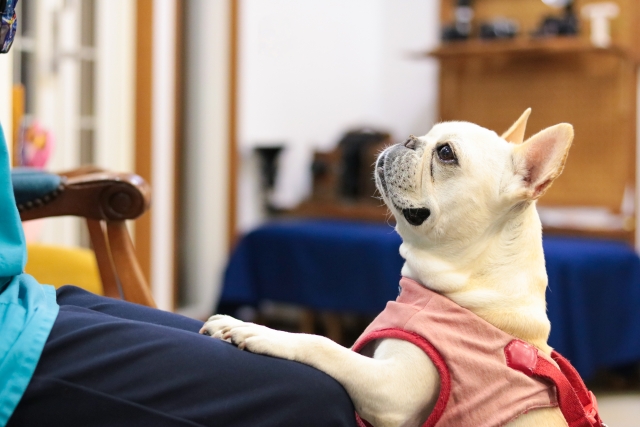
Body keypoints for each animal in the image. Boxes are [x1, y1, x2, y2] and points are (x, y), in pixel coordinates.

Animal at [202, 111, 596, 427]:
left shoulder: (393, 390)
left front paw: (258, 332)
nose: (410, 139)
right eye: (429, 134)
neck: (467, 291)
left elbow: (323, 344)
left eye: (446, 153)